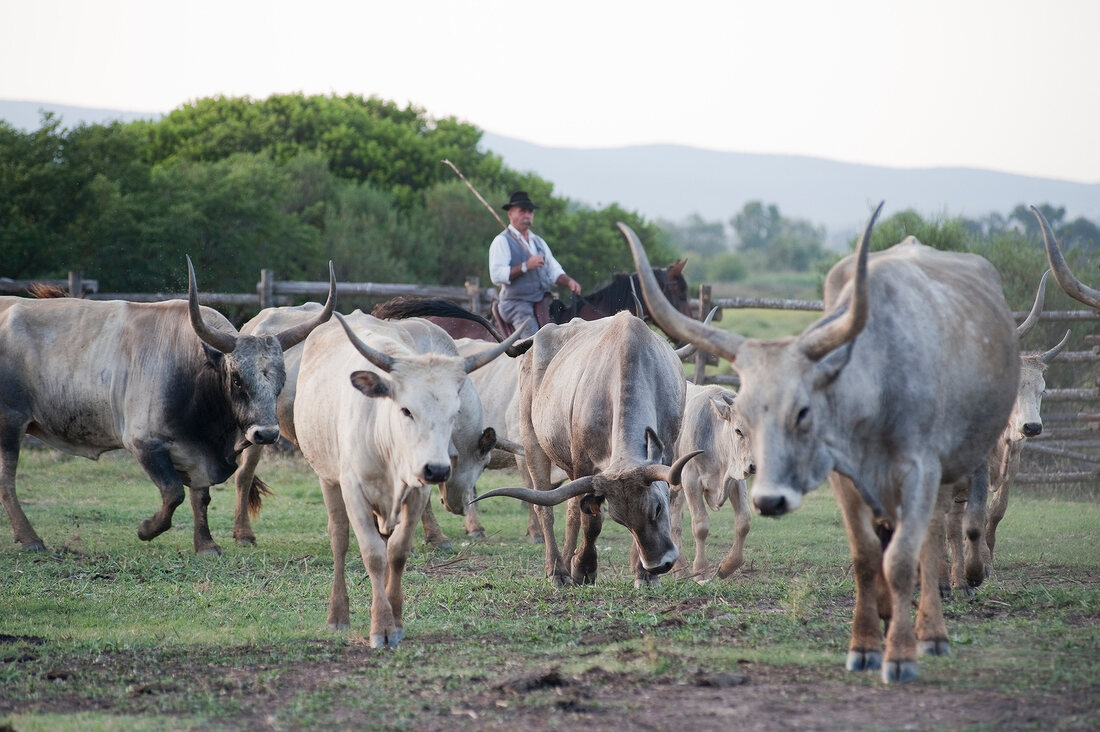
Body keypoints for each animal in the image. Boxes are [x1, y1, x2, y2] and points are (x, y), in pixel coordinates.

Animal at [0, 259, 334, 550]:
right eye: (237, 379)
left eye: (281, 380)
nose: (266, 434)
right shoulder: (144, 443)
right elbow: (173, 492)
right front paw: (147, 529)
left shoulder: (200, 453)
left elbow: (201, 497)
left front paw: (205, 544)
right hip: (10, 422)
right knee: (7, 480)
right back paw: (30, 539)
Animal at [294, 308, 521, 647]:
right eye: (406, 410)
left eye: (454, 414)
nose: (437, 470)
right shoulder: (354, 491)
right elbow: (373, 555)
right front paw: (381, 627)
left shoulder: (416, 494)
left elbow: (397, 553)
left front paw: (396, 620)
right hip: (328, 478)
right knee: (339, 539)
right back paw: (338, 615)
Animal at [470, 310, 695, 585]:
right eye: (620, 519)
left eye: (658, 508)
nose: (659, 565)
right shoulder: (583, 462)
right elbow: (591, 521)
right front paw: (584, 568)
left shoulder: (668, 448)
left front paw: (643, 574)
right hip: (532, 442)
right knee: (545, 507)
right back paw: (558, 569)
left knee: (569, 510)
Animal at [668, 383, 756, 581]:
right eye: (738, 430)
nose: (754, 465)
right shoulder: (690, 480)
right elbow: (700, 526)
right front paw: (700, 571)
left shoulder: (736, 480)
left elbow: (744, 521)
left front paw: (727, 566)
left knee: (674, 522)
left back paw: (679, 568)